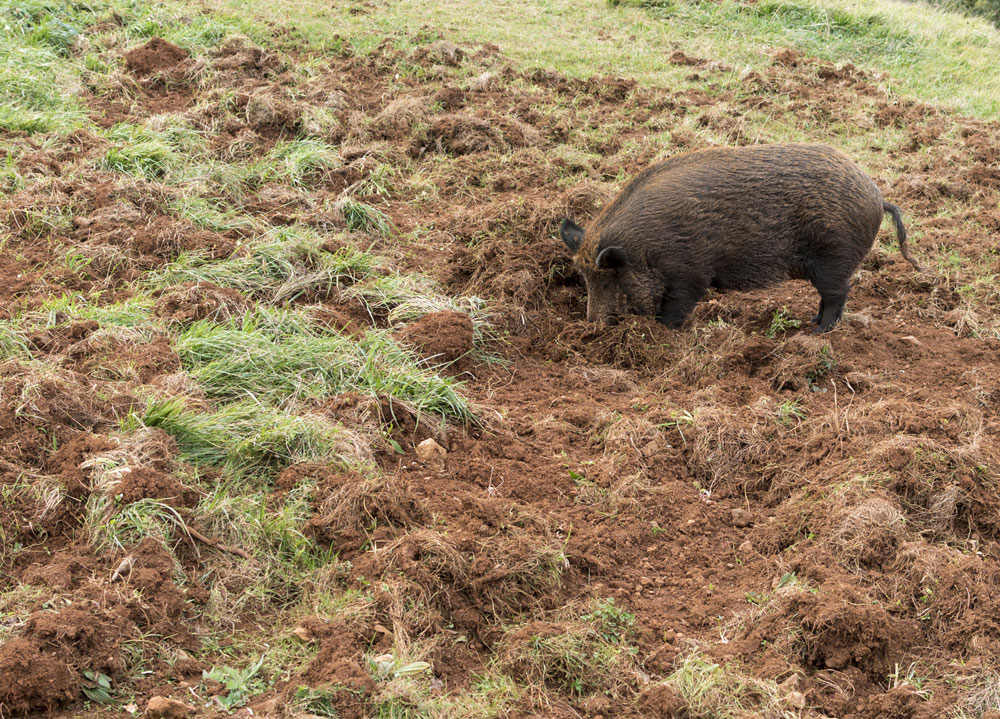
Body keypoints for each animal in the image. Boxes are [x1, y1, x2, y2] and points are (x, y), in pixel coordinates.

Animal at [560, 144, 916, 334]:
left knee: (838, 293)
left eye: (608, 279)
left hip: (834, 257)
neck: (646, 250)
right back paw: (812, 322)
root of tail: (877, 196)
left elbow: (675, 309)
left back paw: (818, 331)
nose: (592, 324)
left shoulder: (690, 275)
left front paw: (663, 334)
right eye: (585, 279)